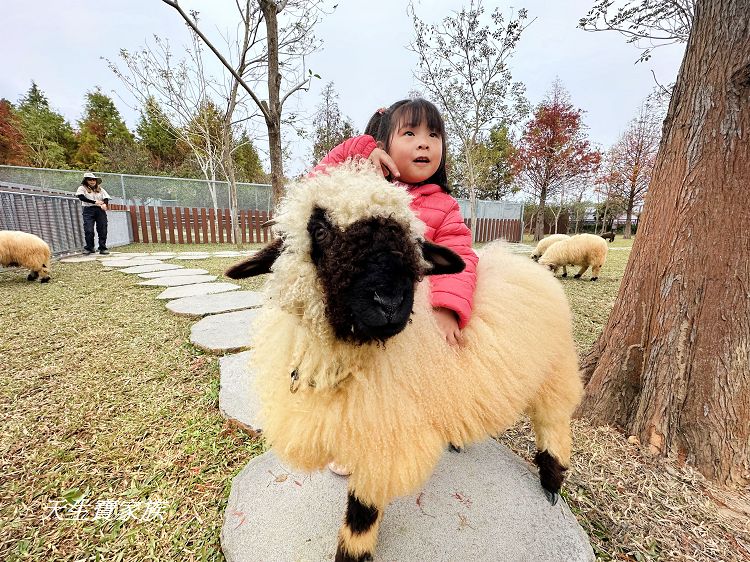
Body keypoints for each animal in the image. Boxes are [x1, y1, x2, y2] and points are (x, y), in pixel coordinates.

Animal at [226, 162, 584, 560]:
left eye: (412, 238)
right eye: (318, 229)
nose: (390, 301)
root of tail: (526, 266)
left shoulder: (387, 435)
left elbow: (363, 507)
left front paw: (352, 552)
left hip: (555, 371)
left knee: (554, 423)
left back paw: (552, 479)